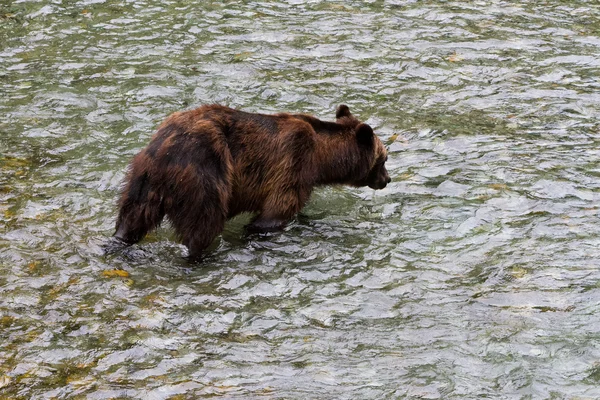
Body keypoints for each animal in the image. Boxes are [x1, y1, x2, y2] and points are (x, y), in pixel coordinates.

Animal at [113, 104, 390, 260]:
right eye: (384, 158)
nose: (387, 179)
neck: (321, 158)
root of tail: (163, 149)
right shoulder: (292, 164)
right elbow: (275, 212)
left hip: (142, 180)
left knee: (132, 217)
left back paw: (119, 242)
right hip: (205, 173)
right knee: (204, 222)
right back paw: (200, 256)